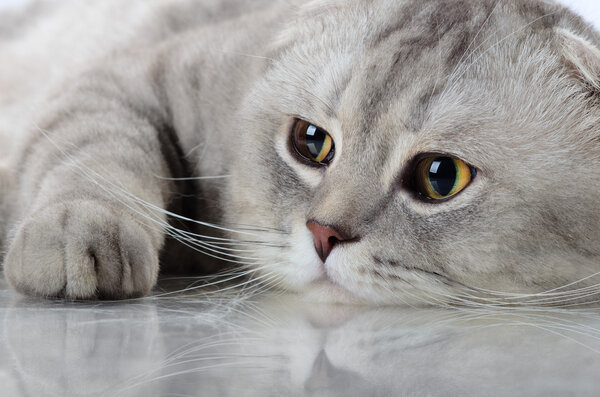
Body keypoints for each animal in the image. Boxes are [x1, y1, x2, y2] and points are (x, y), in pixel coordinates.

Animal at [1, 0, 600, 306]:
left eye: (441, 176)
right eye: (311, 142)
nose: (323, 234)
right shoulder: (128, 77)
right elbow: (96, 154)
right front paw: (79, 230)